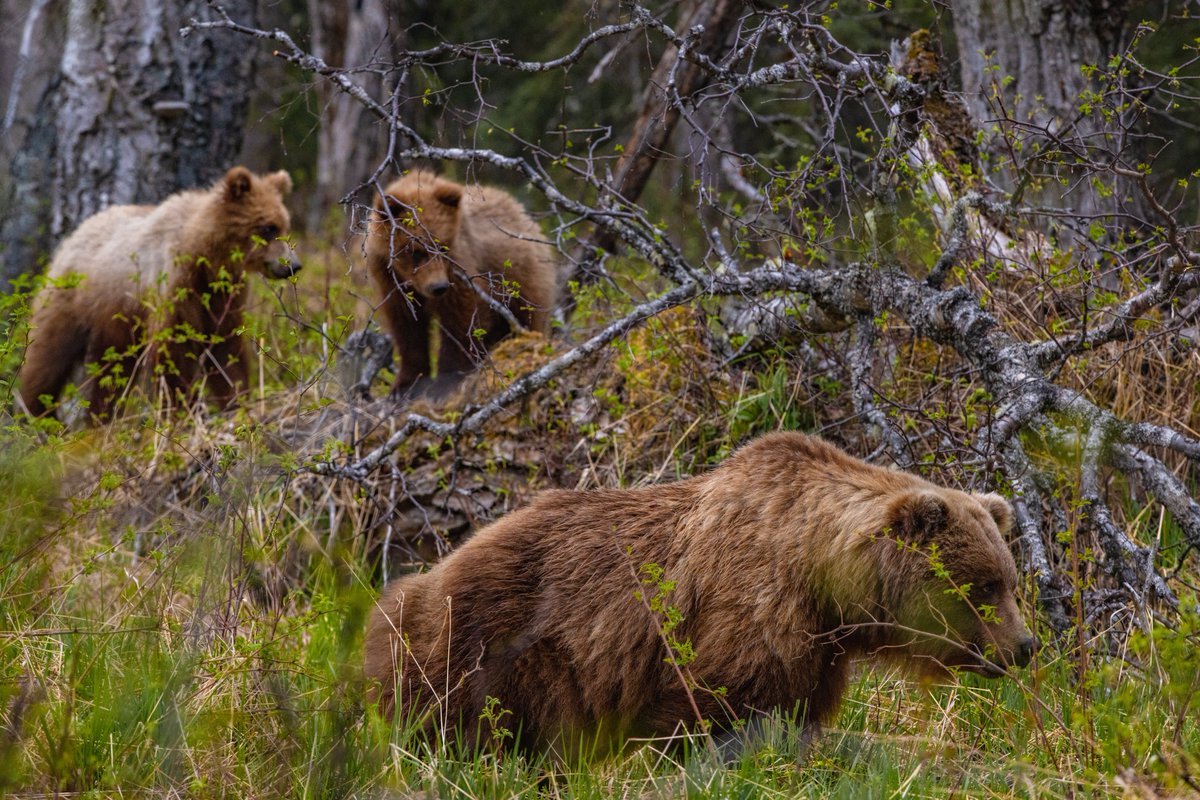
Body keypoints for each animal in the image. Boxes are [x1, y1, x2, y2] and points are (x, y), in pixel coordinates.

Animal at [18, 166, 299, 420]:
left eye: (285, 225)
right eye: (269, 228)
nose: (293, 265)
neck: (203, 254)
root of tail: (73, 235)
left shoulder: (222, 295)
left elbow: (226, 347)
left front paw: (238, 400)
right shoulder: (173, 284)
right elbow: (172, 348)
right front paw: (187, 410)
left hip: (113, 322)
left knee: (111, 371)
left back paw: (100, 418)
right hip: (73, 301)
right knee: (47, 358)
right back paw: (37, 414)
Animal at [363, 431, 1034, 759]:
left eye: (1009, 579)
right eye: (982, 586)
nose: (1024, 646)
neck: (820, 578)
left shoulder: (817, 650)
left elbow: (797, 717)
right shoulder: (749, 616)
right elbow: (712, 711)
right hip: (488, 643)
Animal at [364, 170, 559, 398]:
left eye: (442, 246)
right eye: (415, 251)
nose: (438, 287)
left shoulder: (460, 267)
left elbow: (461, 318)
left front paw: (445, 379)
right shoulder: (389, 278)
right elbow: (407, 325)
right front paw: (405, 384)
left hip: (522, 279)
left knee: (526, 317)